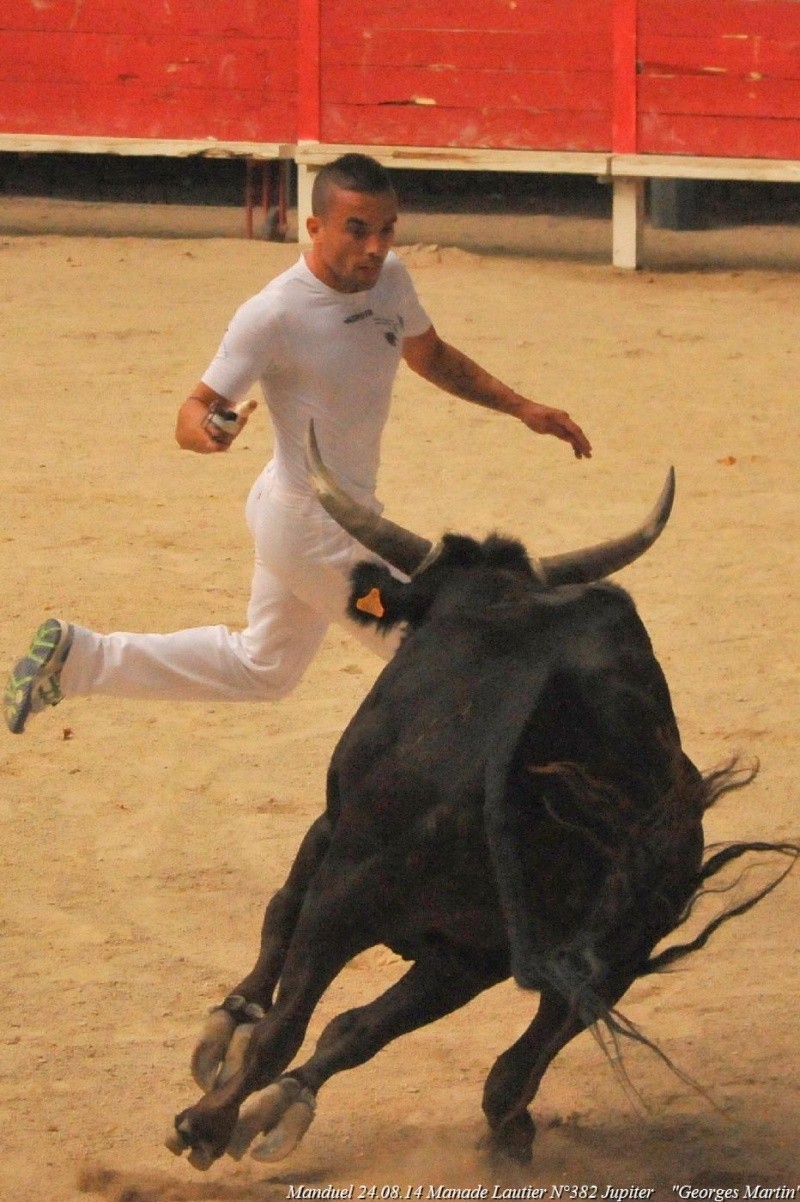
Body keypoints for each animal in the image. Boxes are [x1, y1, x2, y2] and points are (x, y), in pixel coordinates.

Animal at [164, 430, 792, 1173]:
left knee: (296, 1017)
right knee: (497, 1055)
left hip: (356, 888)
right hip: (596, 939)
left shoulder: (331, 831)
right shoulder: (473, 948)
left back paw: (205, 1123)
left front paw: (227, 1033)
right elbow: (357, 1026)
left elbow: (282, 922)